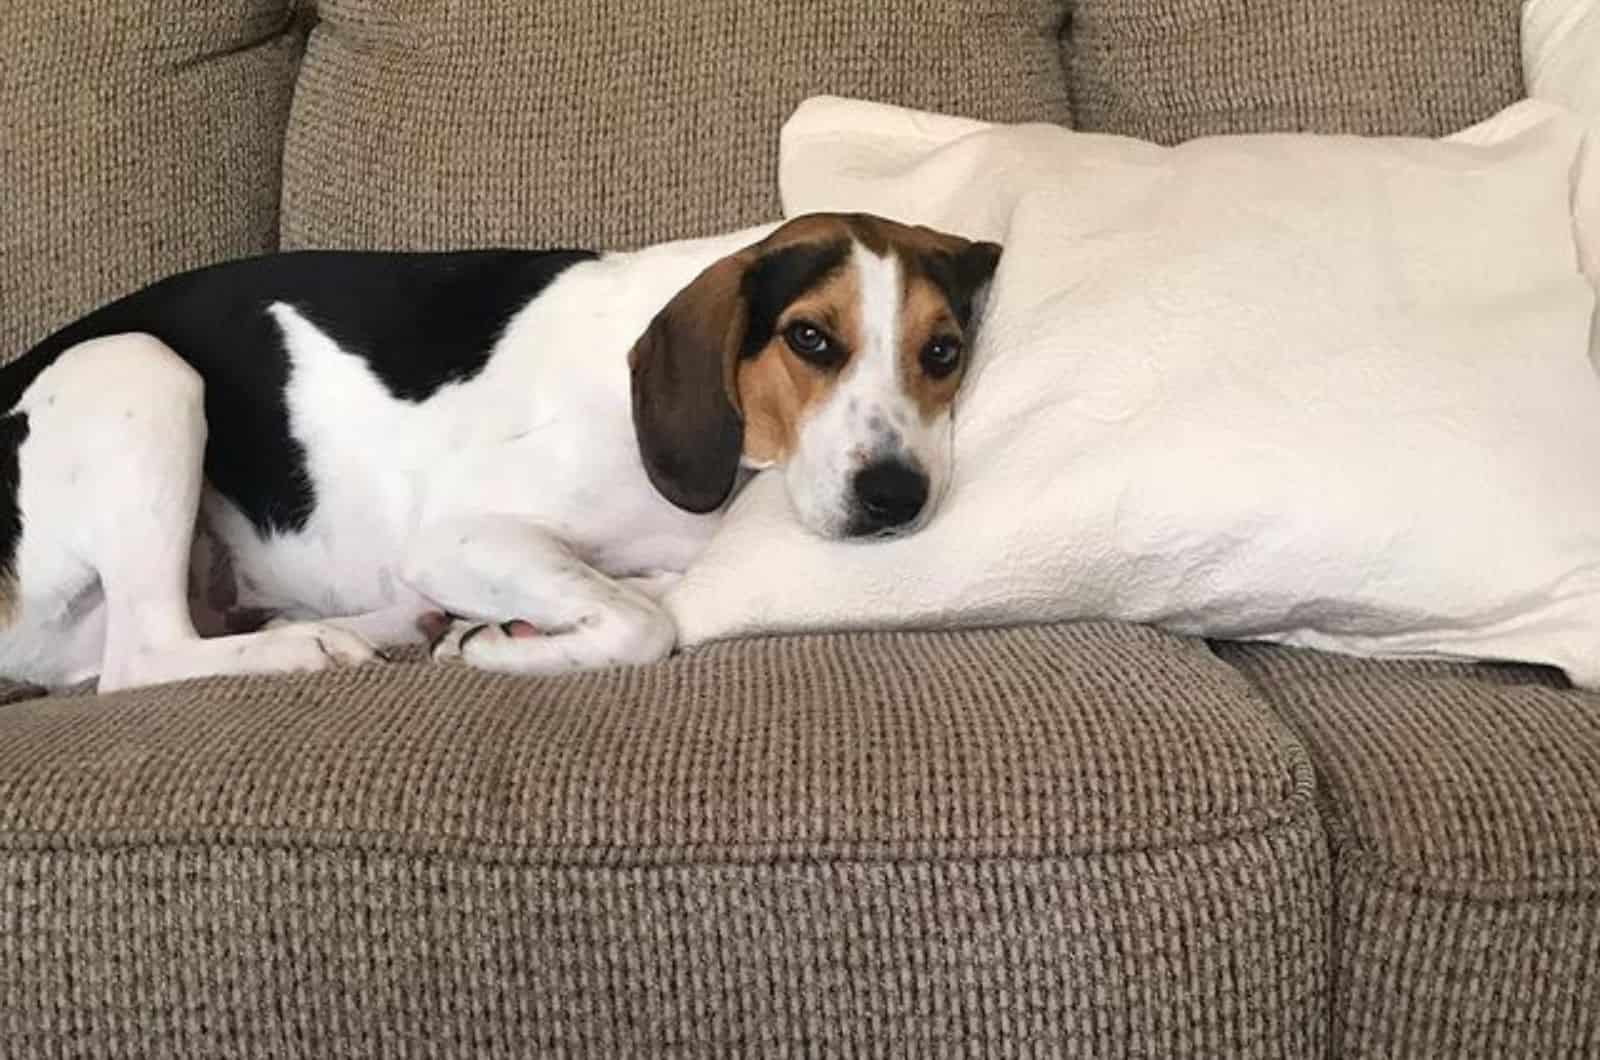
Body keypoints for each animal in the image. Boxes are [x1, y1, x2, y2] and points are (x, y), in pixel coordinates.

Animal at [0, 216, 998, 698]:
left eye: (943, 352)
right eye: (809, 339)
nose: (895, 495)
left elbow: (646, 595)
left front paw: (503, 632)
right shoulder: (458, 538)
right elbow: (643, 623)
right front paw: (503, 655)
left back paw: (390, 625)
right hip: (138, 366)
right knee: (142, 656)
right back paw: (309, 646)